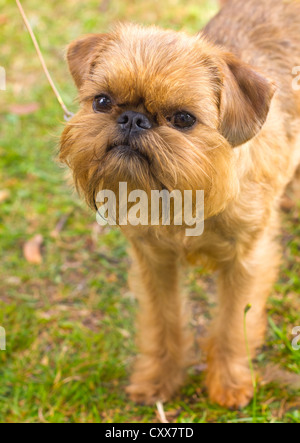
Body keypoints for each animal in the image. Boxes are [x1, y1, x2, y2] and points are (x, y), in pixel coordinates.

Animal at [59, 0, 300, 410]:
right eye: (102, 101)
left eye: (184, 119)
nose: (133, 119)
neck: (182, 198)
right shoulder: (155, 261)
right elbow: (162, 320)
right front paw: (159, 377)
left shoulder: (247, 261)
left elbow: (234, 323)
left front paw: (229, 382)